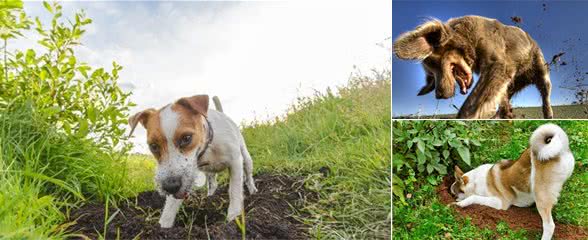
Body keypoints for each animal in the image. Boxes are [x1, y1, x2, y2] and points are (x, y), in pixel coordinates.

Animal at [129, 94, 258, 228]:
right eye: (153, 146)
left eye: (186, 138)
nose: (170, 186)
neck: (207, 147)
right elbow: (170, 205)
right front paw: (163, 225)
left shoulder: (235, 162)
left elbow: (234, 190)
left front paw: (234, 216)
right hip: (209, 172)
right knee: (213, 184)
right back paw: (210, 196)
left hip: (246, 158)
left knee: (248, 175)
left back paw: (253, 190)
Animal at [396, 15, 552, 118]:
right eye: (431, 74)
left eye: (435, 63)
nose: (438, 95)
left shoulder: (498, 66)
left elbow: (471, 105)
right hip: (511, 86)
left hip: (541, 71)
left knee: (545, 95)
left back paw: (548, 114)